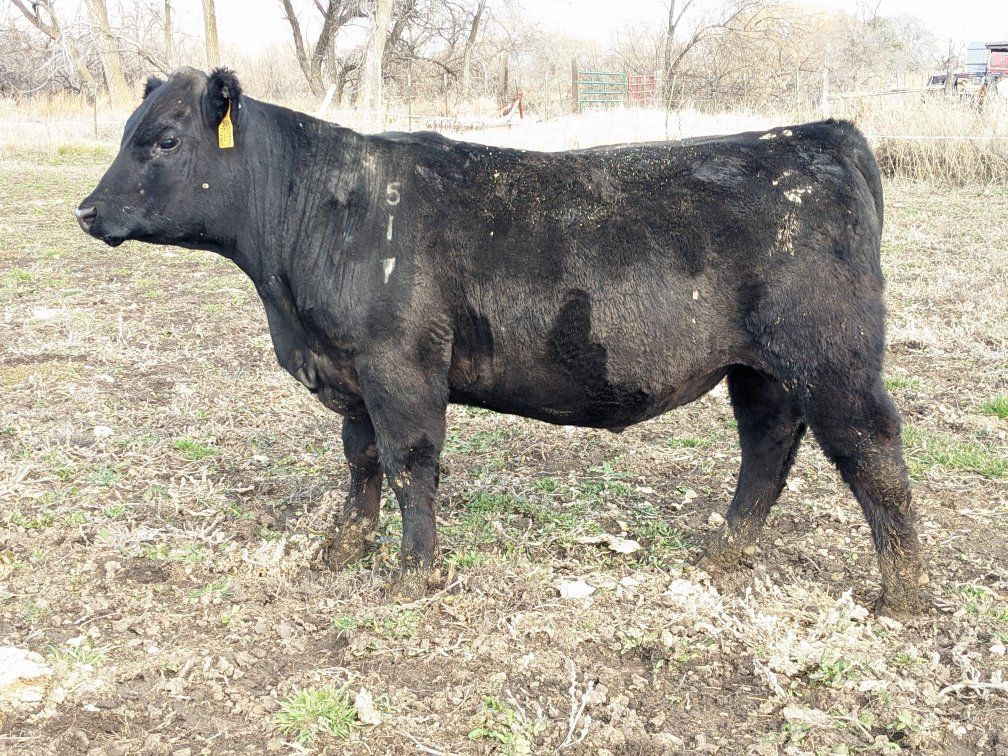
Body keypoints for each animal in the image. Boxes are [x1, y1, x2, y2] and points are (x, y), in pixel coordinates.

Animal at [76, 67, 928, 614]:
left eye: (164, 140)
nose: (86, 210)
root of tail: (819, 135)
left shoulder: (400, 368)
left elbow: (409, 464)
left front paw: (411, 576)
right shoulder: (351, 373)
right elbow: (360, 462)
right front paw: (341, 549)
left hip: (833, 359)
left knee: (874, 456)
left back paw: (904, 595)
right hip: (759, 368)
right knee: (768, 448)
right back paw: (722, 554)